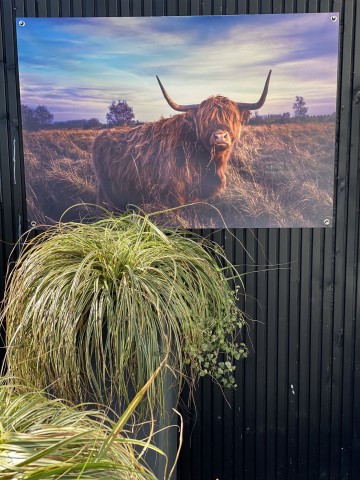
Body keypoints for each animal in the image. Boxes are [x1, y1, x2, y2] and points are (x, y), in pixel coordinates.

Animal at [91, 70, 272, 209]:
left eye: (232, 118)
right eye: (204, 119)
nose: (220, 136)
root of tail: (102, 135)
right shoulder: (174, 196)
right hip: (105, 192)